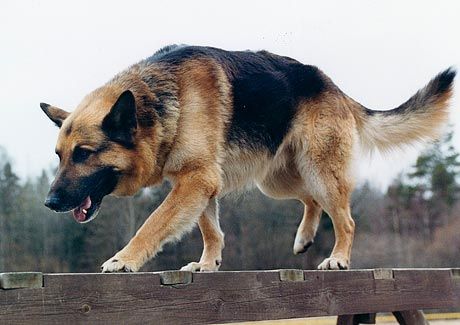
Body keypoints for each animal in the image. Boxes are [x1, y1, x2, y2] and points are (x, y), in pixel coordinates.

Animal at [40, 44, 456, 270]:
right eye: (59, 156)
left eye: (84, 154)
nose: (50, 203)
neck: (159, 100)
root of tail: (334, 87)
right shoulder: (199, 184)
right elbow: (211, 230)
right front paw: (208, 264)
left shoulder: (196, 180)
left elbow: (152, 223)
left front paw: (124, 259)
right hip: (276, 179)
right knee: (310, 201)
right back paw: (304, 238)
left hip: (320, 170)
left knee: (346, 219)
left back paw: (338, 257)